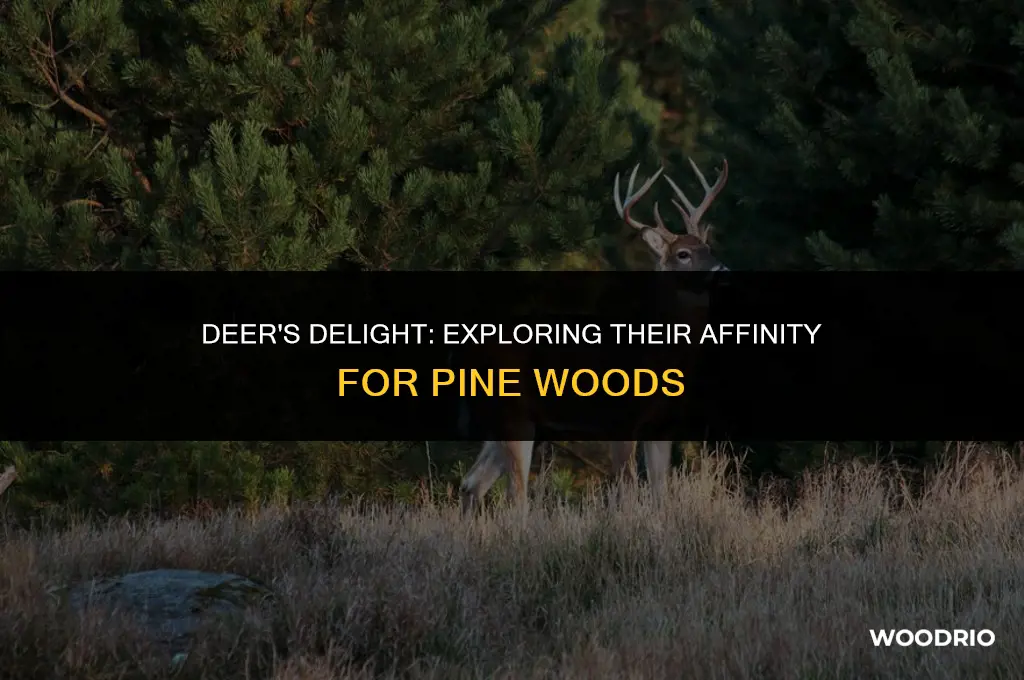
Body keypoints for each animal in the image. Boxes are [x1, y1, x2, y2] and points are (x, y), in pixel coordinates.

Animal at [458, 157, 730, 515]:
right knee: (515, 496)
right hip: (514, 414)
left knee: (472, 483)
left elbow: (661, 495)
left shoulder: (662, 427)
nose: (723, 272)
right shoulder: (621, 419)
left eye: (708, 247)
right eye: (683, 254)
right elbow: (627, 491)